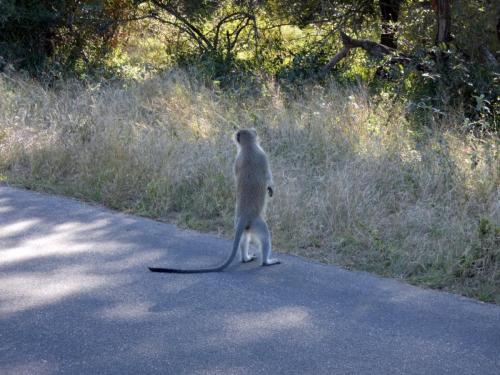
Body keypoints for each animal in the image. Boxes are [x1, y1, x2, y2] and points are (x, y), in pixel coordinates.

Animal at [148, 129, 282, 274]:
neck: (248, 148)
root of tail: (245, 216)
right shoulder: (263, 156)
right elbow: (268, 176)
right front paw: (270, 188)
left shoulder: (237, 160)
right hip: (258, 223)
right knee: (265, 238)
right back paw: (267, 262)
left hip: (240, 223)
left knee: (243, 238)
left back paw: (245, 258)